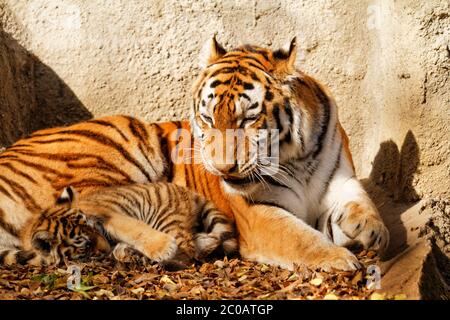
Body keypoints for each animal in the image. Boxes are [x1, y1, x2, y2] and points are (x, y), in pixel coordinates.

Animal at [0, 38, 386, 272]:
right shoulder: (259, 212)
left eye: (248, 119)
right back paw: (158, 247)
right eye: (208, 118)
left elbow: (364, 204)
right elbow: (300, 238)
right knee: (100, 216)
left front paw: (372, 232)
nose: (223, 168)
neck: (298, 158)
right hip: (108, 158)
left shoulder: (343, 181)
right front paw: (339, 257)